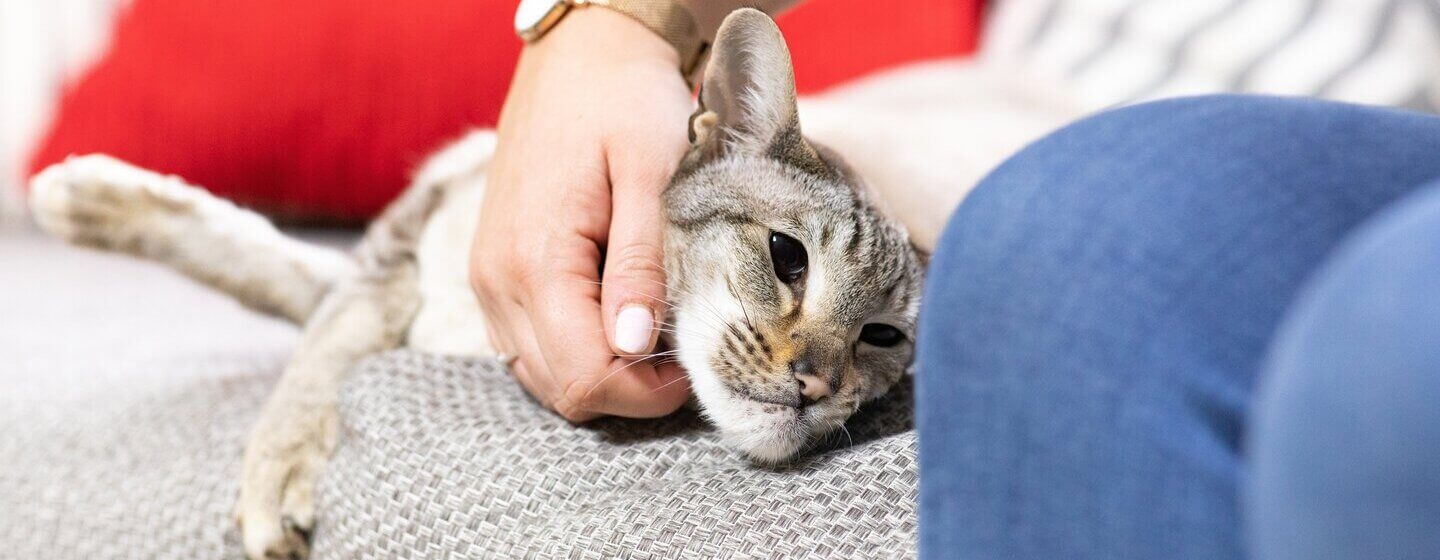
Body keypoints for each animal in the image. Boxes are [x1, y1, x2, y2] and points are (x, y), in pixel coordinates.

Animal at [28, 9, 921, 558]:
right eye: (787, 257)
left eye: (882, 338)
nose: (817, 387)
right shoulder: (408, 229)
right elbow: (312, 325)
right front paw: (90, 199)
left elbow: (314, 316)